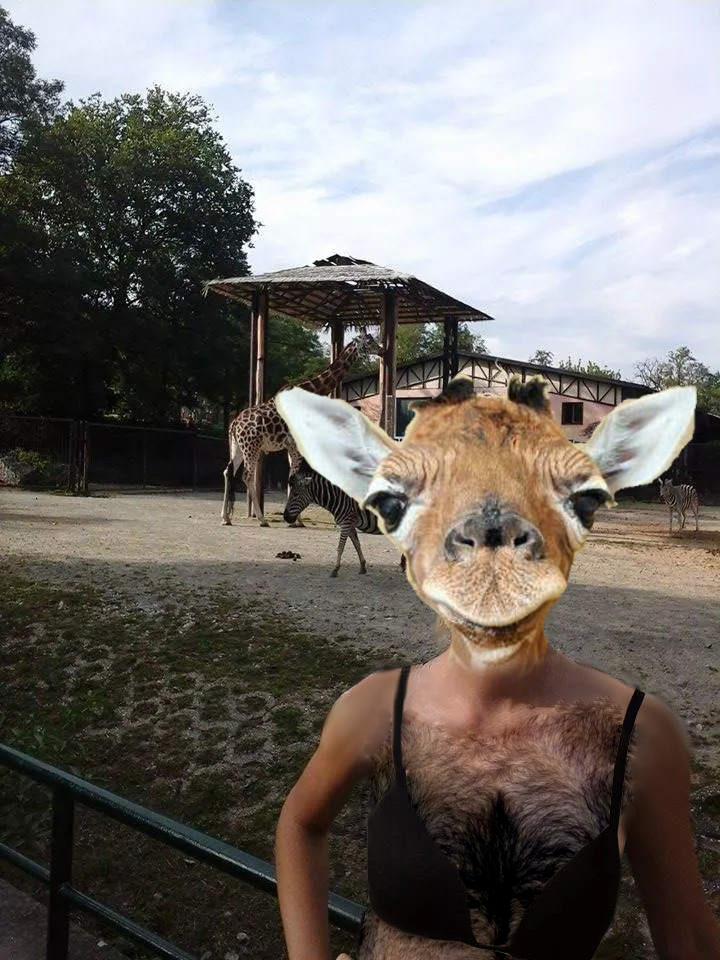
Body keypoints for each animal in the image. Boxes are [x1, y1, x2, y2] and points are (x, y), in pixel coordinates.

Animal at [221, 331, 381, 527]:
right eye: (368, 342)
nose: (382, 350)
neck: (311, 390)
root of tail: (234, 424)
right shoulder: (295, 445)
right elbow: (294, 477)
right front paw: (295, 520)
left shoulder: (292, 446)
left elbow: (294, 476)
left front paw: (296, 519)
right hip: (251, 447)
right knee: (247, 476)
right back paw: (261, 519)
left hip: (237, 447)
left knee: (228, 471)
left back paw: (226, 517)